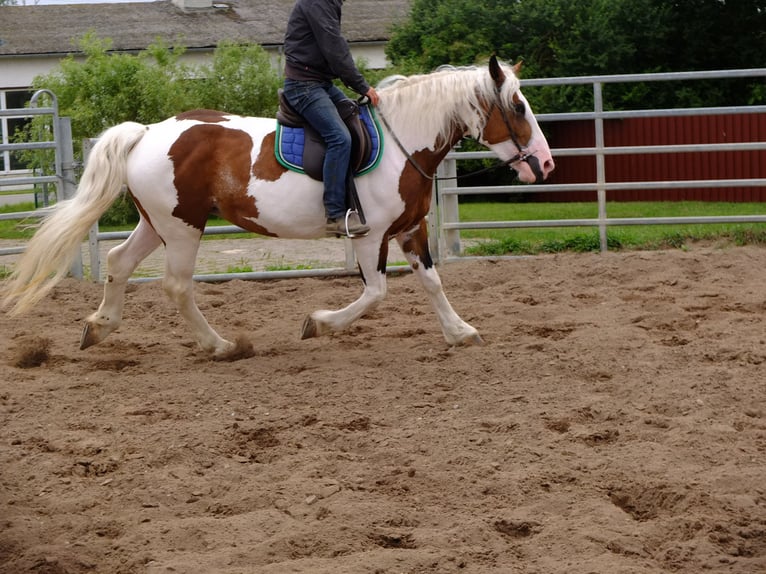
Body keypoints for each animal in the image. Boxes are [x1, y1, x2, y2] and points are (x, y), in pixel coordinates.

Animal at [0, 56, 552, 358]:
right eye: (519, 106)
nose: (545, 164)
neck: (403, 141)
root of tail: (149, 132)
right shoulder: (371, 235)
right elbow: (375, 294)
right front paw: (318, 323)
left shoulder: (410, 228)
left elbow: (433, 283)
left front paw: (460, 332)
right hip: (183, 228)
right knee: (176, 286)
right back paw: (220, 346)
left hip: (157, 224)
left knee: (118, 262)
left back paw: (99, 327)